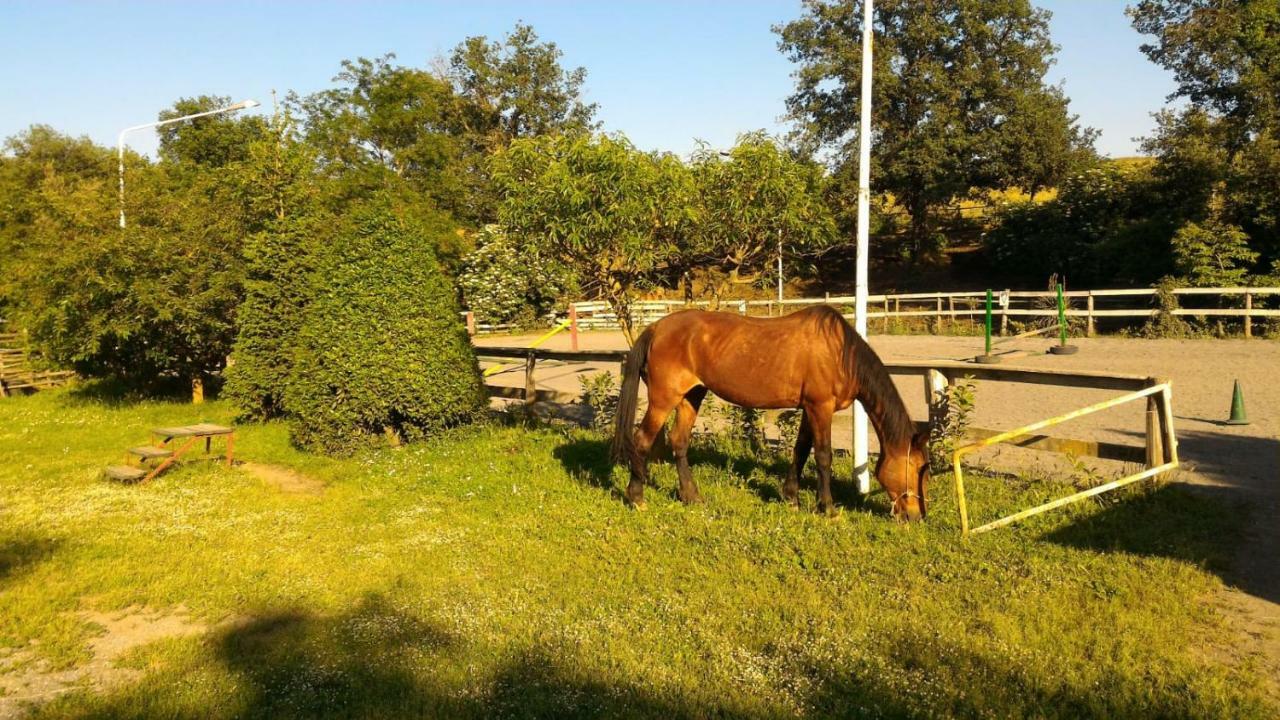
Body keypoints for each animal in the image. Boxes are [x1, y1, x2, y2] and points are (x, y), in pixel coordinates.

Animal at [611, 304, 931, 517]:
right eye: (918, 468)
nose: (916, 516)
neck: (840, 353)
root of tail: (656, 328)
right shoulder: (820, 407)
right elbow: (823, 456)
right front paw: (827, 508)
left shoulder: (809, 409)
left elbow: (800, 451)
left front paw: (791, 498)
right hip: (663, 400)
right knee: (641, 441)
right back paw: (636, 498)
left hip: (692, 395)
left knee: (679, 442)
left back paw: (692, 497)